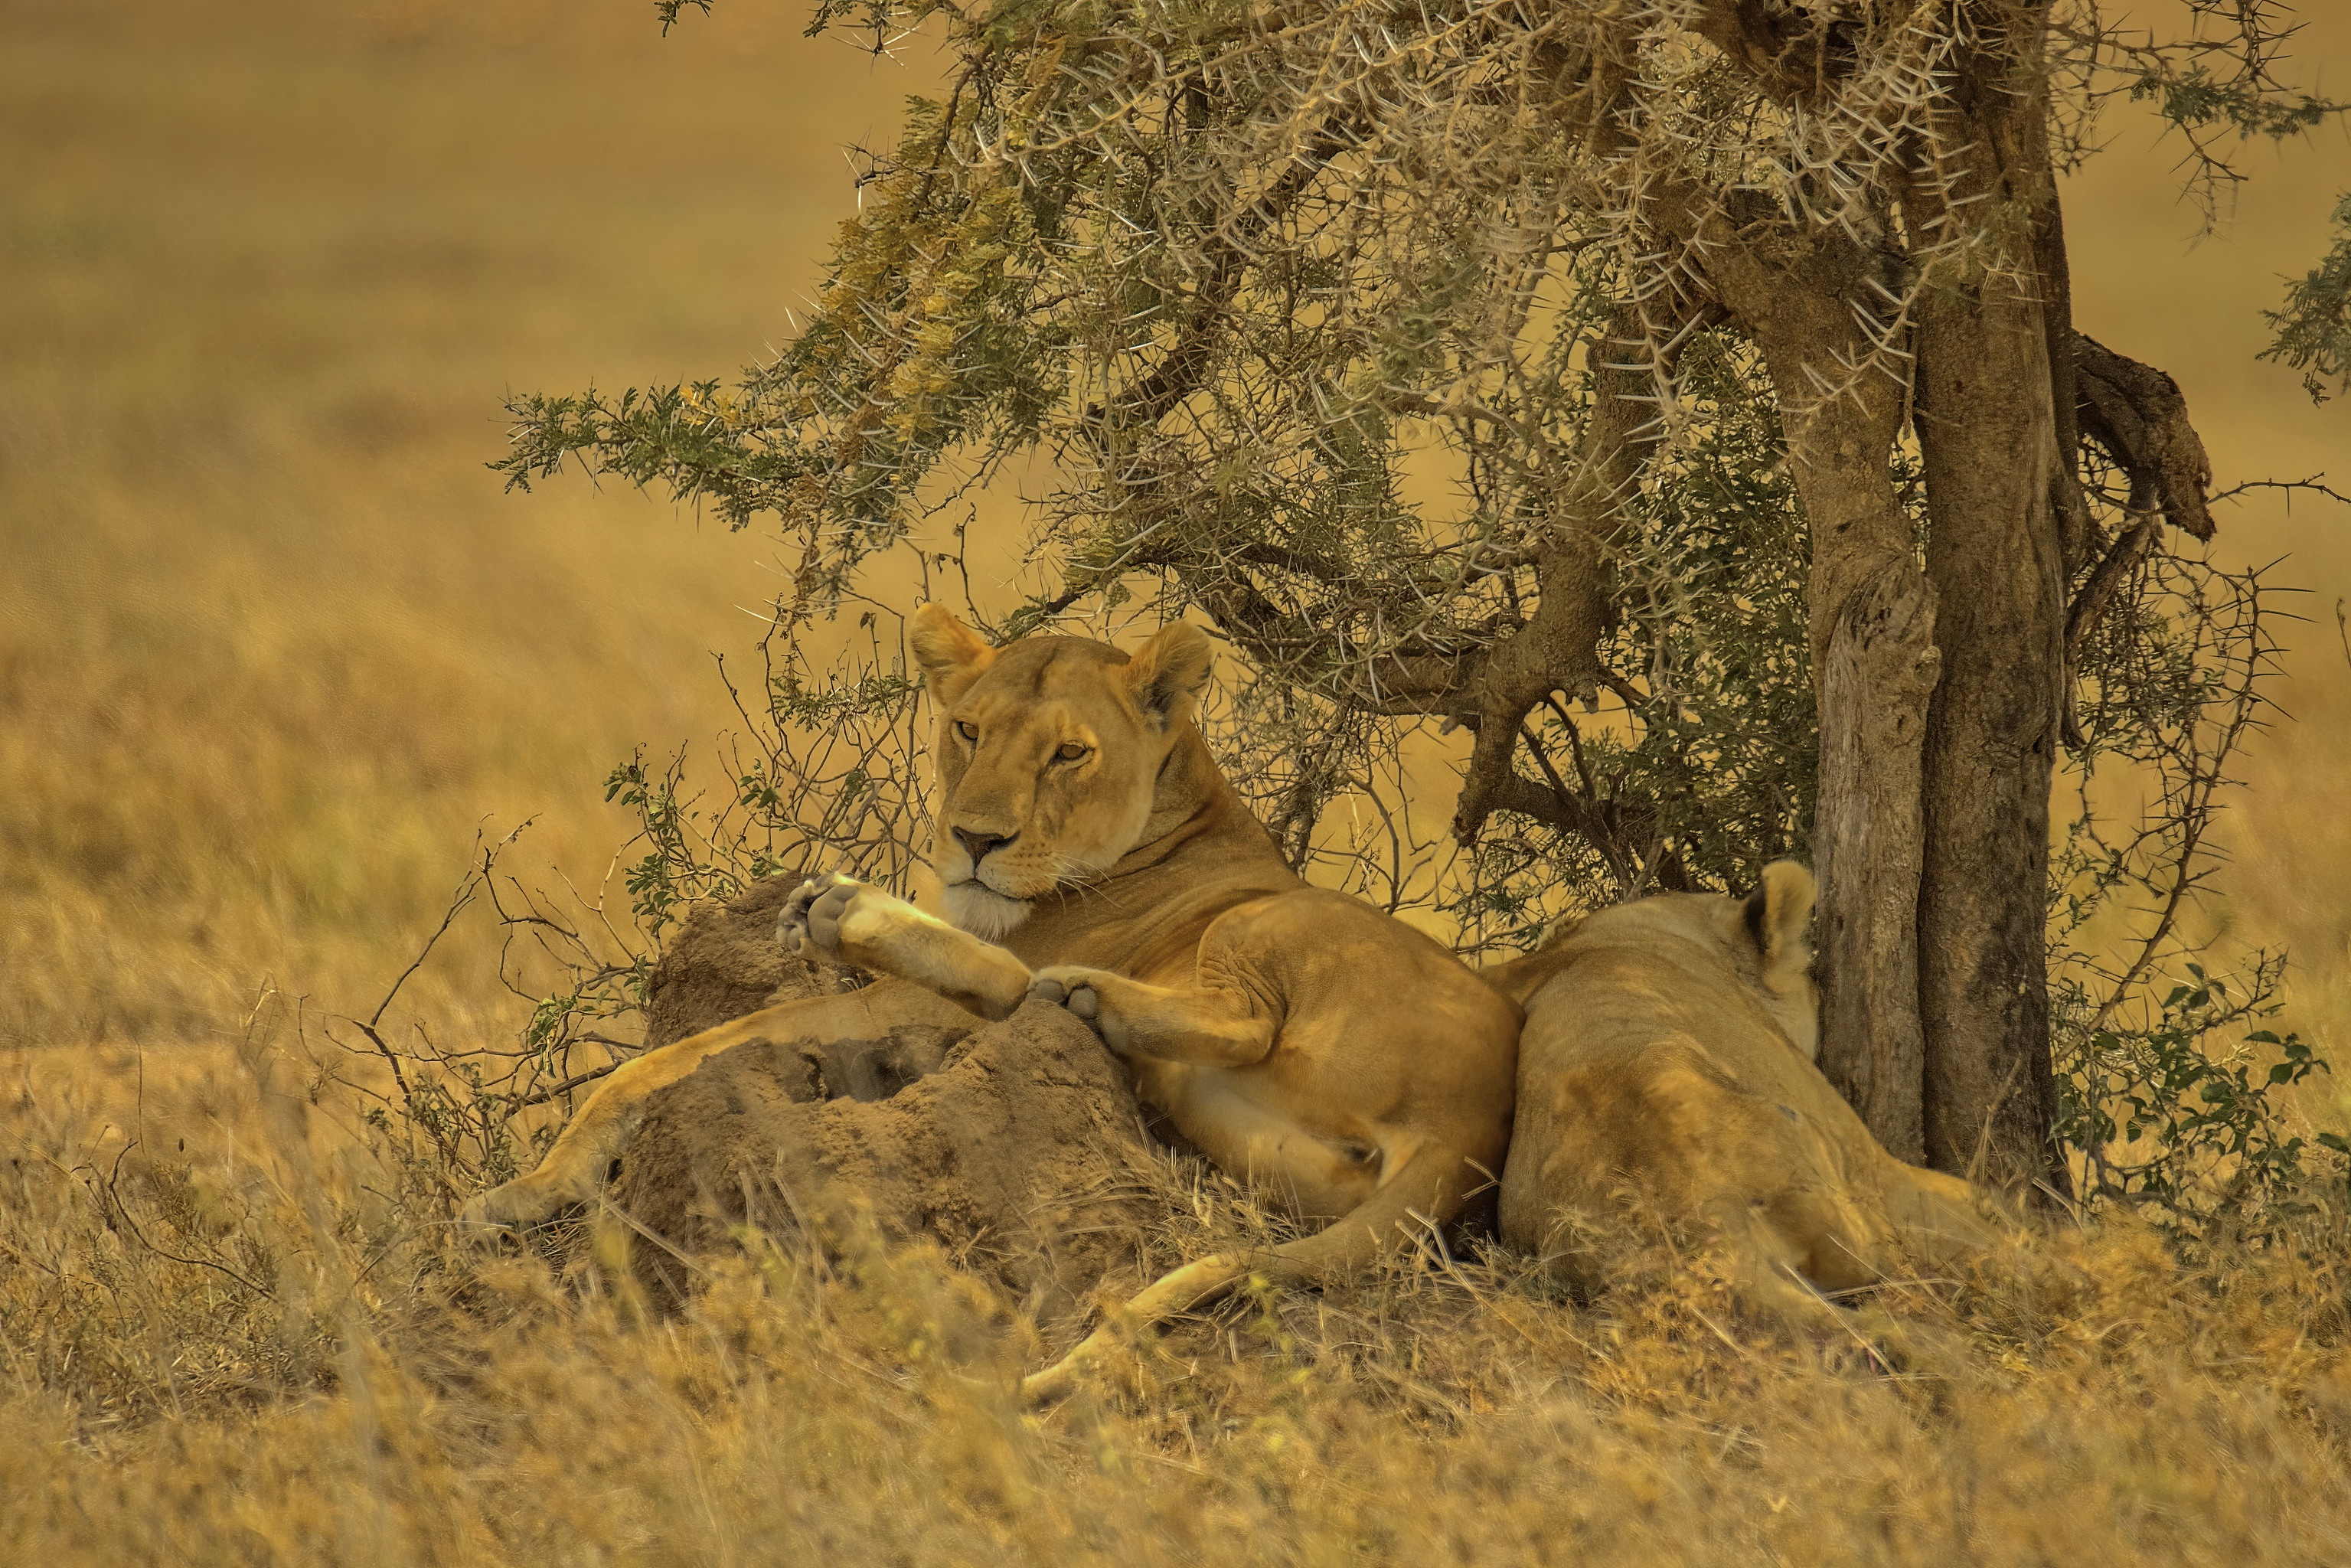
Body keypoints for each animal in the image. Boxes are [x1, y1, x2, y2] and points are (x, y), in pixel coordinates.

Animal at [459, 605, 1522, 1403]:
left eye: (1067, 755)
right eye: (967, 729)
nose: (974, 838)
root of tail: (1475, 1124)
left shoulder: (914, 1007)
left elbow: (671, 1057)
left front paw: (525, 1188)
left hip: (1270, 923)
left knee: (1065, 994)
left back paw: (895, 926)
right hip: (1245, 1135)